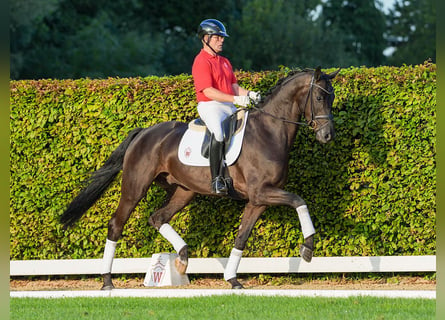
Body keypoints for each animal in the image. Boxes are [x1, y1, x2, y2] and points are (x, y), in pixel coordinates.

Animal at [58, 67, 336, 290]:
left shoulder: (258, 201)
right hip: (135, 187)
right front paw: (308, 248)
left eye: (332, 98)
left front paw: (232, 280)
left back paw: (182, 258)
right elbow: (299, 201)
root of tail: (144, 132)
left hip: (184, 190)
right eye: (319, 97)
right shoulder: (262, 192)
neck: (269, 131)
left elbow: (242, 237)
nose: (327, 136)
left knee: (158, 218)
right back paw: (107, 281)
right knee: (117, 224)